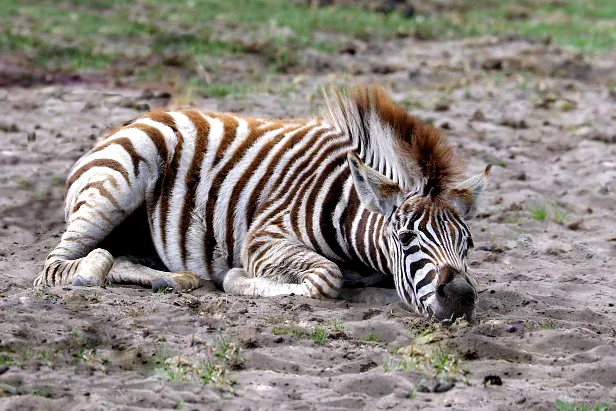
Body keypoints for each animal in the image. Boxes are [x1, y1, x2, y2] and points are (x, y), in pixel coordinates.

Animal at [36, 83, 490, 322]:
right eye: (407, 238)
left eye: (467, 245)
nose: (461, 298)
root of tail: (138, 119)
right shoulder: (264, 239)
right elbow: (325, 278)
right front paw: (237, 279)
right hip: (118, 182)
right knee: (60, 266)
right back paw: (89, 272)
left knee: (118, 256)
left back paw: (173, 280)